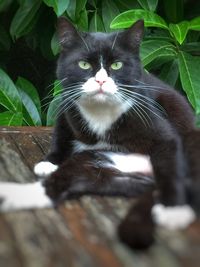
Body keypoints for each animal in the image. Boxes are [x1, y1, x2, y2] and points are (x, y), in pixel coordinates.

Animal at [0, 17, 199, 249]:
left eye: (117, 65)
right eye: (84, 64)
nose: (101, 81)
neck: (101, 113)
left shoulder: (158, 128)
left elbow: (170, 165)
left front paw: (173, 210)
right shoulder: (66, 106)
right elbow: (60, 132)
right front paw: (50, 161)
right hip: (97, 164)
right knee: (64, 181)